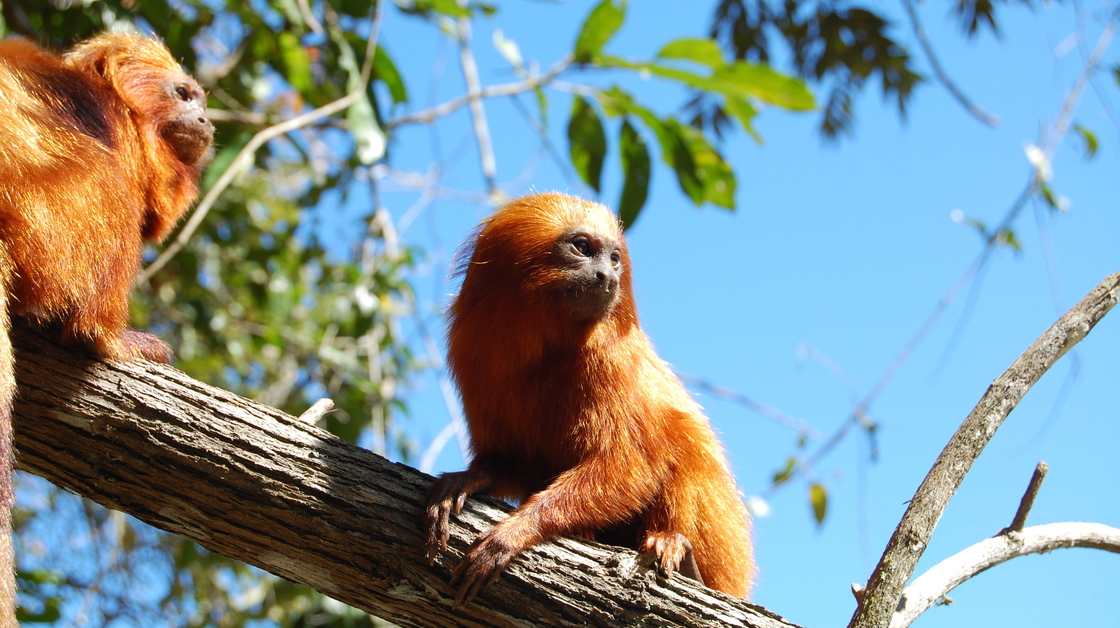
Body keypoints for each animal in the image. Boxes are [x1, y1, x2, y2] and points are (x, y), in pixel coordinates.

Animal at [0, 31, 213, 623]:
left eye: (201, 102)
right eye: (183, 94)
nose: (206, 120)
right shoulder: (109, 123)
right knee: (104, 179)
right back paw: (103, 337)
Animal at [425, 192, 753, 605]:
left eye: (614, 258)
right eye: (582, 248)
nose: (608, 276)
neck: (542, 350)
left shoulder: (609, 360)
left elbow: (630, 466)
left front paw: (516, 531)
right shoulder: (475, 354)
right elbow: (507, 460)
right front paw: (469, 479)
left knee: (681, 439)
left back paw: (682, 554)